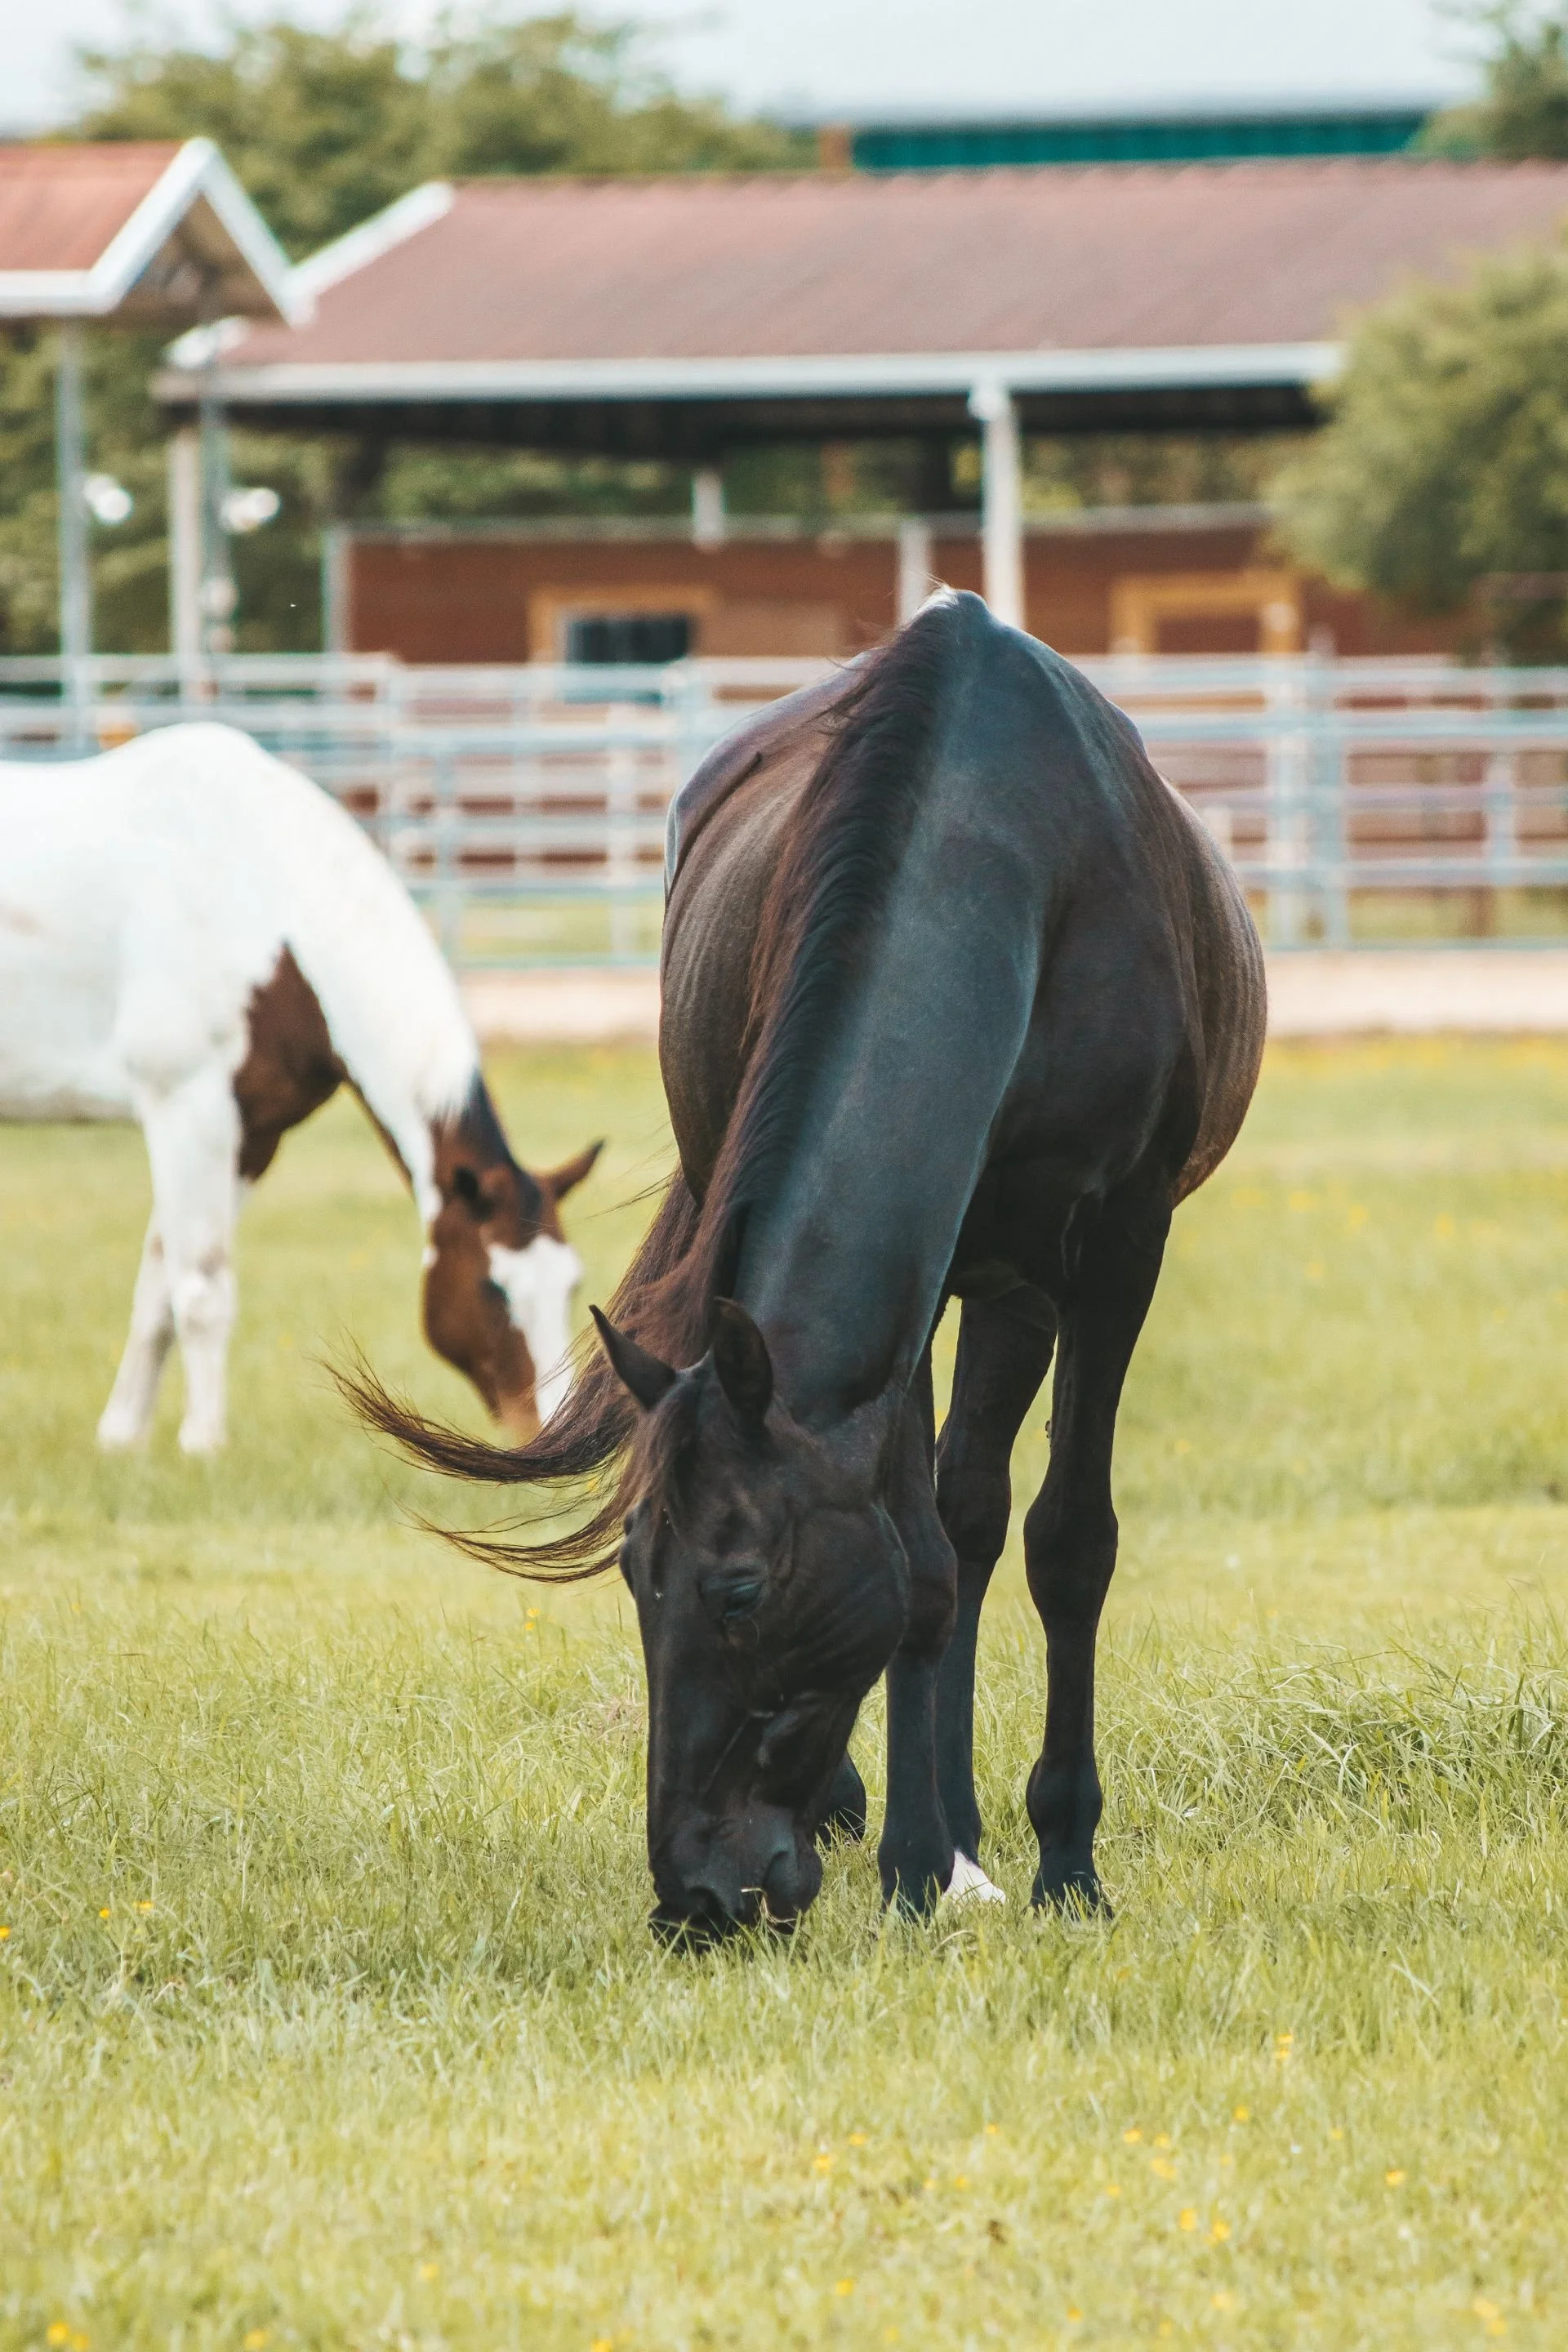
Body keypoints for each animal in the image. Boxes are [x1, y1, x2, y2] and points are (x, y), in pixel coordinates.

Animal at [0, 721, 600, 1454]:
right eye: (495, 1289)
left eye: (569, 1285)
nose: (552, 1429)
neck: (267, 908)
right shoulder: (187, 1112)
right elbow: (200, 1291)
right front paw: (203, 1445)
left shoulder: (251, 1135)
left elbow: (158, 1287)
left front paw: (122, 1440)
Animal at [353, 593, 1265, 1940]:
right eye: (634, 1578)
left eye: (737, 1590)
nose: (694, 1894)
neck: (1002, 863)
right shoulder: (921, 1283)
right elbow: (919, 1558)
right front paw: (918, 1863)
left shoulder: (1114, 1253)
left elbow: (1065, 1542)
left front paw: (1064, 1862)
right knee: (949, 1518)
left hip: (1021, 1290)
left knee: (981, 1509)